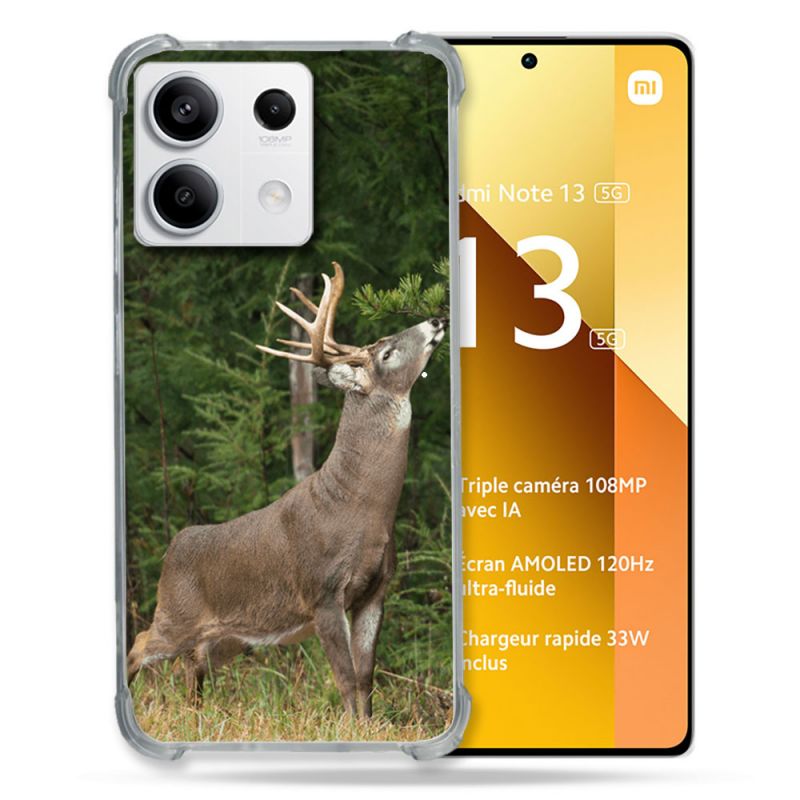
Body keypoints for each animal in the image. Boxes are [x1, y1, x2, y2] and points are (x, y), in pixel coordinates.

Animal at [127, 262, 447, 718]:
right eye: (386, 352)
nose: (436, 320)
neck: (361, 508)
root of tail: (173, 547)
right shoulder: (323, 591)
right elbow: (345, 677)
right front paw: (352, 727)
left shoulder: (376, 590)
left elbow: (366, 677)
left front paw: (369, 725)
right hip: (176, 612)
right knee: (140, 644)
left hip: (228, 636)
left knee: (192, 664)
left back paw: (197, 714)